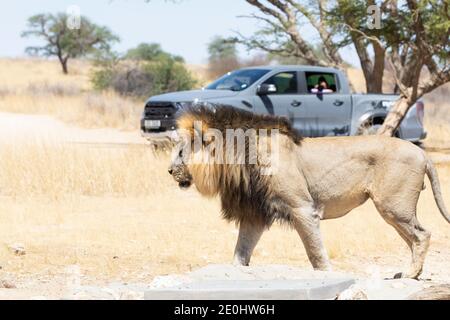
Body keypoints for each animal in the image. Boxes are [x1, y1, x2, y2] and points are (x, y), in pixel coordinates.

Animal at [167, 104, 448, 278]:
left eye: (180, 152)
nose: (169, 171)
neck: (235, 159)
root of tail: (421, 152)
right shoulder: (254, 213)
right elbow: (240, 253)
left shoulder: (302, 208)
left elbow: (315, 251)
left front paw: (326, 276)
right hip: (396, 210)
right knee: (413, 238)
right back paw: (412, 274)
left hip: (393, 206)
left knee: (422, 235)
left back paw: (411, 273)